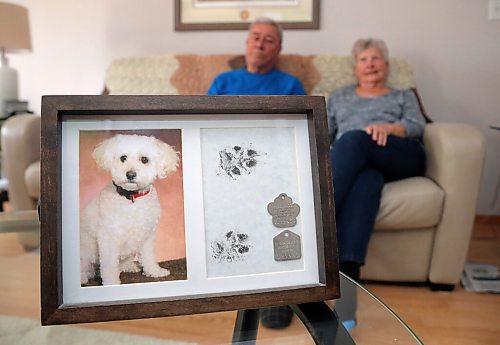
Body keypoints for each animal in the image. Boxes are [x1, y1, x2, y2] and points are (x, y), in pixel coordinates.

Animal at [79, 134, 179, 284]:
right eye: (123, 158)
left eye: (144, 159)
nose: (130, 174)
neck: (132, 199)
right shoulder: (109, 237)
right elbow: (109, 265)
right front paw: (111, 283)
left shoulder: (147, 235)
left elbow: (149, 256)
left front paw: (154, 271)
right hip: (86, 252)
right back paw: (82, 276)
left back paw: (128, 266)